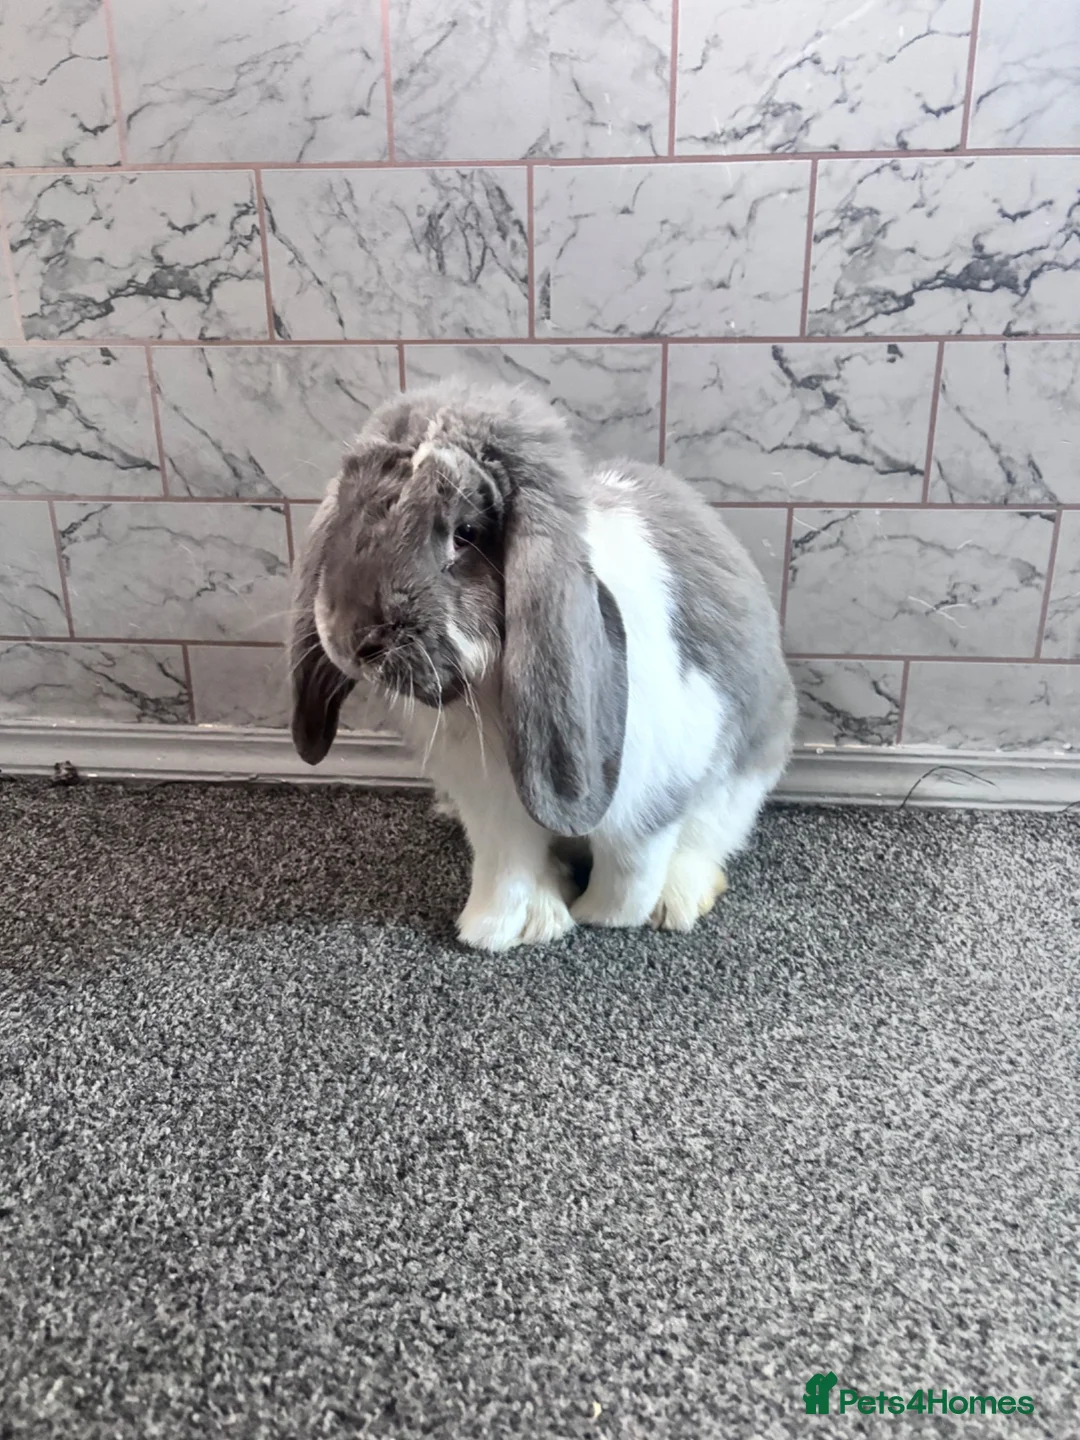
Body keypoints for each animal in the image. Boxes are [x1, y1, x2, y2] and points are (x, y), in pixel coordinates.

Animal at [289, 380, 796, 952]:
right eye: (351, 513)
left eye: (465, 533)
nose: (353, 640)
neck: (488, 695)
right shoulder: (493, 812)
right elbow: (507, 869)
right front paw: (496, 930)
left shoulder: (650, 796)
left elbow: (631, 865)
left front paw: (606, 916)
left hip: (739, 779)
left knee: (706, 839)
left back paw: (676, 902)